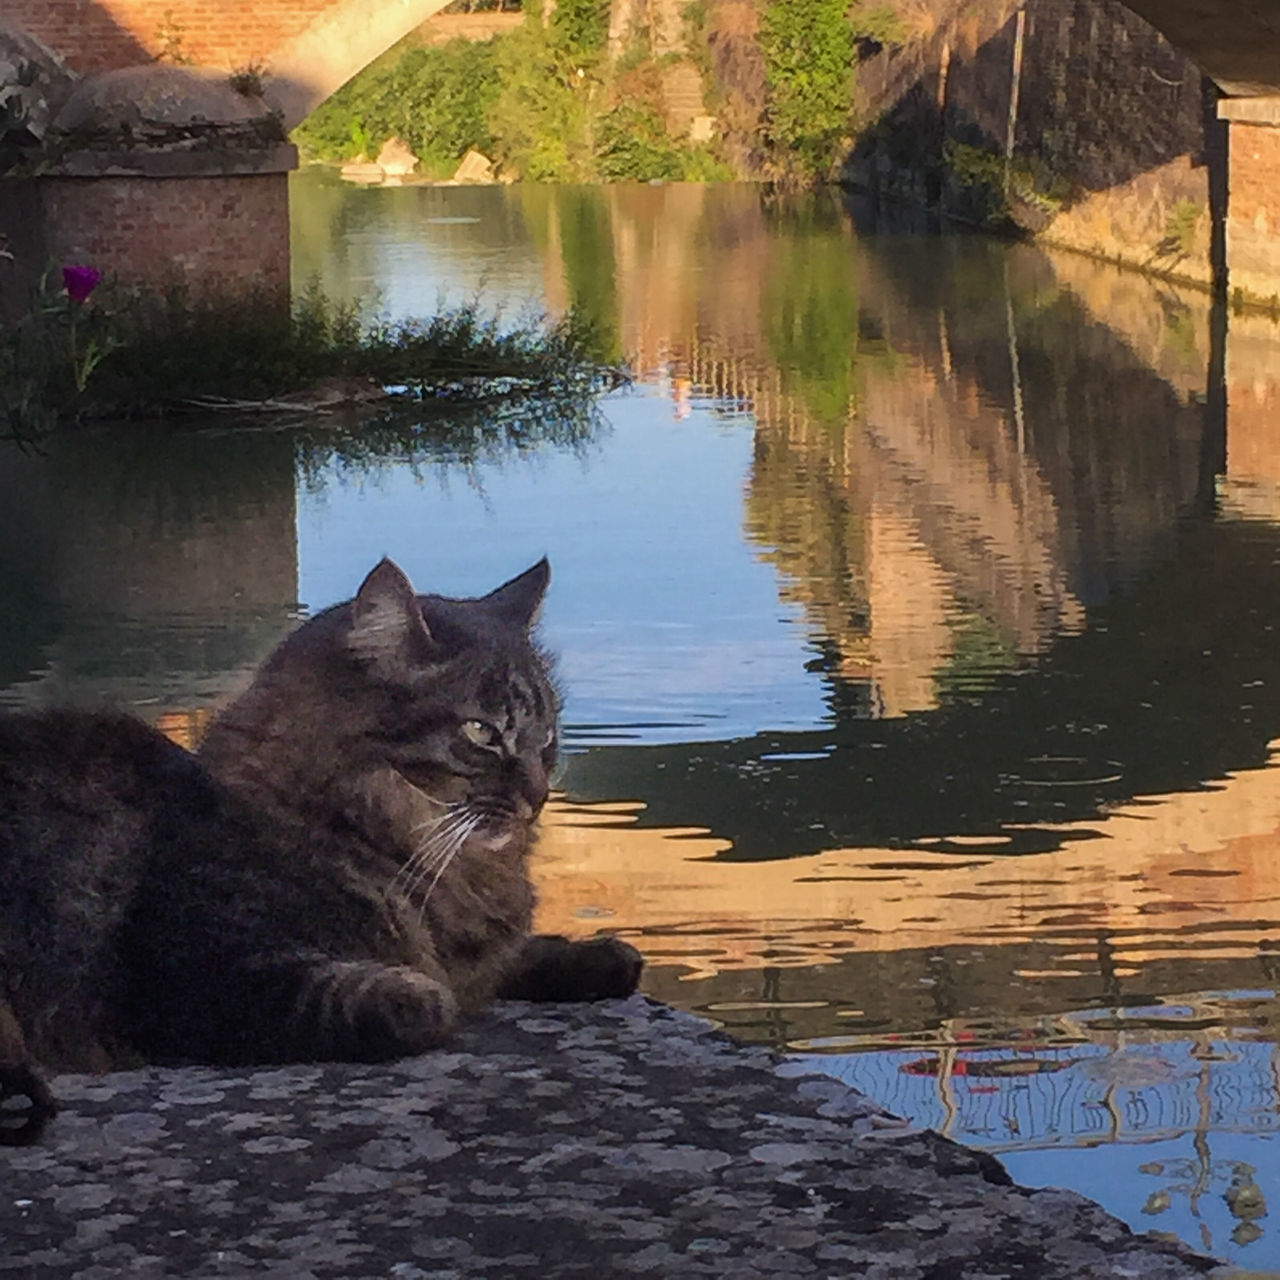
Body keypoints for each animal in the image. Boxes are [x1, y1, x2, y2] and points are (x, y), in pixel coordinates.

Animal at [0, 555, 640, 1146]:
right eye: (482, 732)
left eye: (547, 735)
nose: (538, 794)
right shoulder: (187, 972)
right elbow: (392, 998)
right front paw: (423, 995)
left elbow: (512, 959)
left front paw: (603, 957)